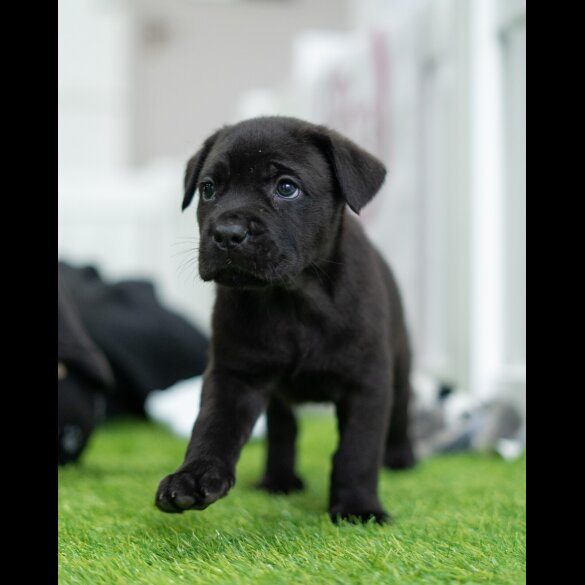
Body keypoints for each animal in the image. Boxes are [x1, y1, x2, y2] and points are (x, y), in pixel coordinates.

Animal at [153, 116, 412, 524]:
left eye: (286, 188)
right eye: (208, 189)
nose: (227, 233)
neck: (291, 299)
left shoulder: (367, 383)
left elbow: (358, 450)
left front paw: (358, 507)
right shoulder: (234, 375)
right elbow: (213, 429)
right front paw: (192, 477)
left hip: (399, 367)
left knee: (401, 412)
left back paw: (401, 457)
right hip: (278, 395)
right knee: (282, 429)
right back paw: (279, 479)